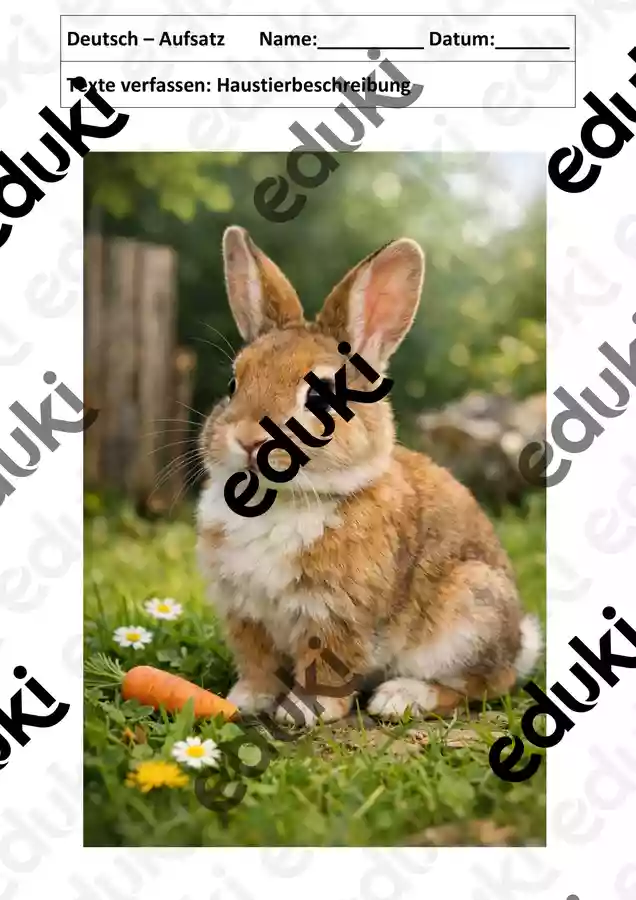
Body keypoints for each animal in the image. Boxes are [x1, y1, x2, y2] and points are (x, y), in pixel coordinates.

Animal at [196, 225, 543, 726]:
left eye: (321, 396)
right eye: (233, 384)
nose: (246, 439)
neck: (280, 499)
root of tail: (520, 643)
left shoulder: (336, 616)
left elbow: (326, 668)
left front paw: (303, 711)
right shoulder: (246, 614)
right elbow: (258, 663)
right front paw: (246, 700)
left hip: (467, 614)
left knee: (484, 685)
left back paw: (400, 698)